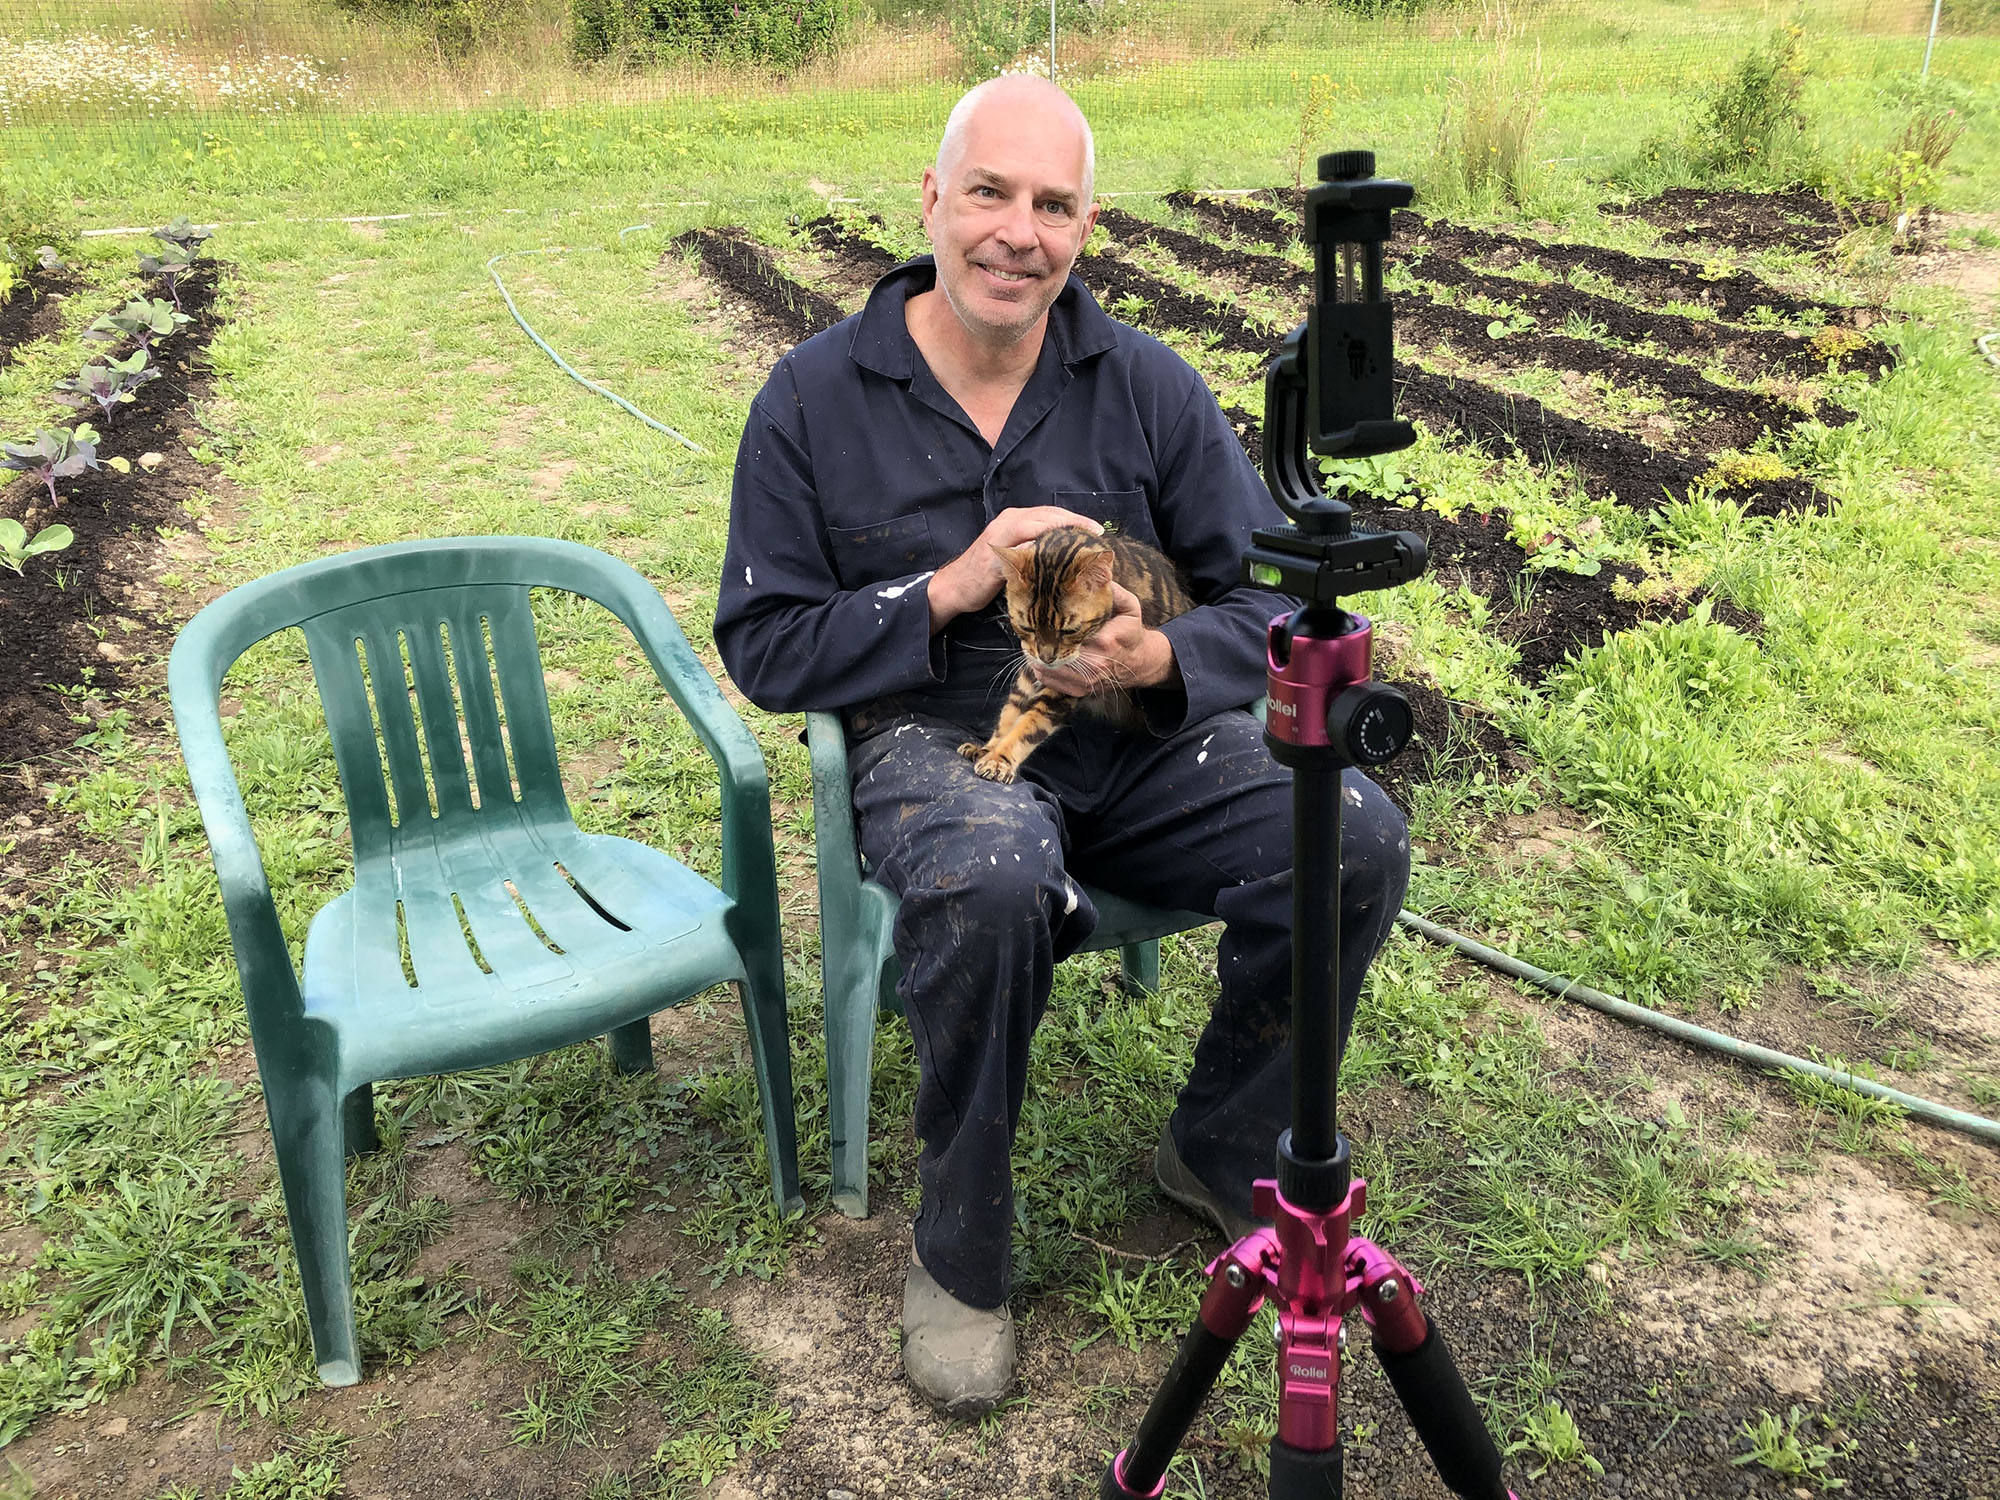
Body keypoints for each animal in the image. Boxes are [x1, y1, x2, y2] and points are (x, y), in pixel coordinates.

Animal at [960, 528, 1192, 788]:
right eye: (1027, 627)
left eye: (1070, 630)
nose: (1047, 658)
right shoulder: (1030, 670)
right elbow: (1010, 713)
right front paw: (988, 748)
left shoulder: (1062, 689)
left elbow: (1029, 726)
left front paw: (998, 759)